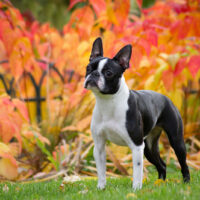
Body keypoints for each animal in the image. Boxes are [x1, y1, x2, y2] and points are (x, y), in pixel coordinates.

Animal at [83, 38, 190, 191]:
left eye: (108, 73)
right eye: (88, 68)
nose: (94, 74)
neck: (108, 102)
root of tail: (167, 98)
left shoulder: (136, 146)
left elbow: (137, 170)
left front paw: (136, 189)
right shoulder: (99, 146)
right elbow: (101, 170)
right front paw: (101, 188)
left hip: (176, 141)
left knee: (183, 164)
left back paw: (186, 183)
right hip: (149, 147)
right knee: (162, 165)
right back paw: (160, 184)